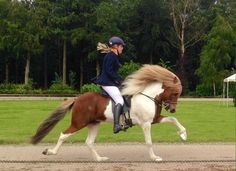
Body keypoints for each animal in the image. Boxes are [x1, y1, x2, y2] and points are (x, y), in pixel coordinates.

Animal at [30, 64, 186, 162]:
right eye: (175, 93)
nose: (172, 108)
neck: (148, 96)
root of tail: (77, 99)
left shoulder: (155, 119)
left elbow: (173, 119)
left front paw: (183, 135)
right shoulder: (146, 123)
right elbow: (149, 142)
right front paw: (154, 158)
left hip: (94, 124)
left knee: (89, 142)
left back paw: (100, 159)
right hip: (79, 123)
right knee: (64, 135)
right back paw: (50, 152)